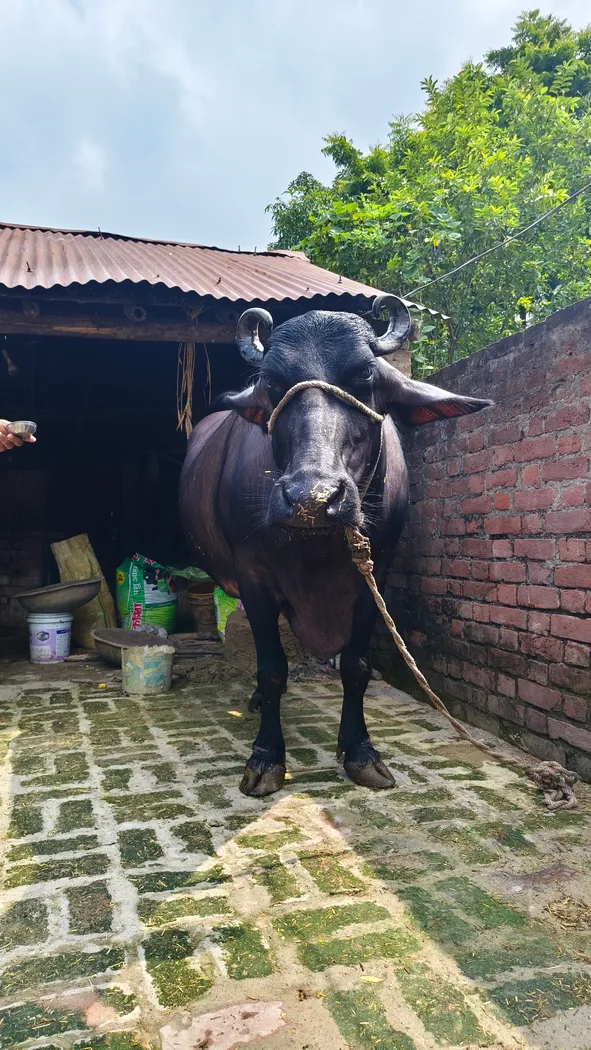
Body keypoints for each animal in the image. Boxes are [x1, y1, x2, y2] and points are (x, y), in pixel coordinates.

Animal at [180, 296, 491, 796]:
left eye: (364, 375)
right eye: (272, 383)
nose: (312, 497)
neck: (317, 551)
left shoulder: (374, 578)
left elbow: (356, 666)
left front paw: (360, 750)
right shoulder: (253, 578)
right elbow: (272, 669)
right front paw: (266, 757)